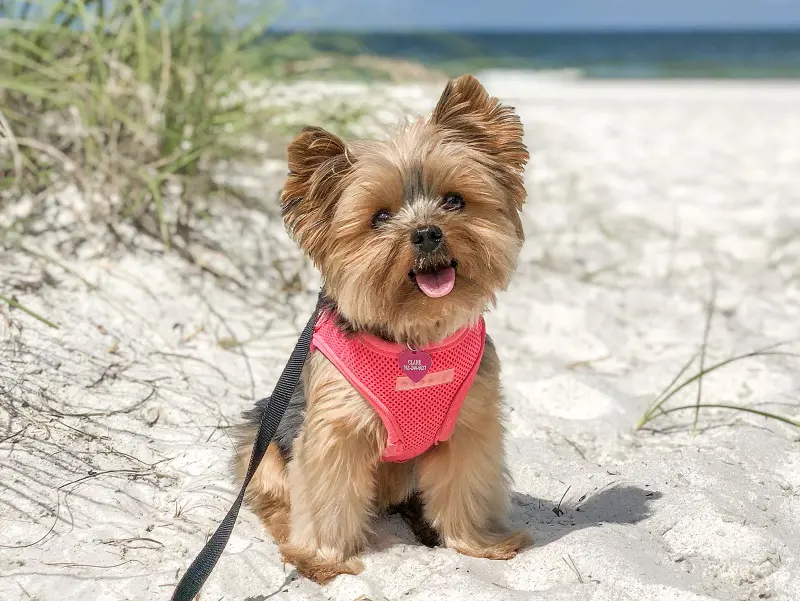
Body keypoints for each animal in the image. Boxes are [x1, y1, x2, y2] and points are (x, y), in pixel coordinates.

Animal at [233, 72, 532, 584]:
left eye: (455, 200)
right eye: (380, 218)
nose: (427, 232)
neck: (414, 336)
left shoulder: (469, 425)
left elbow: (466, 485)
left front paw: (477, 544)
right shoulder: (334, 431)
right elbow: (328, 495)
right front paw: (325, 560)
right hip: (265, 446)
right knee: (274, 496)